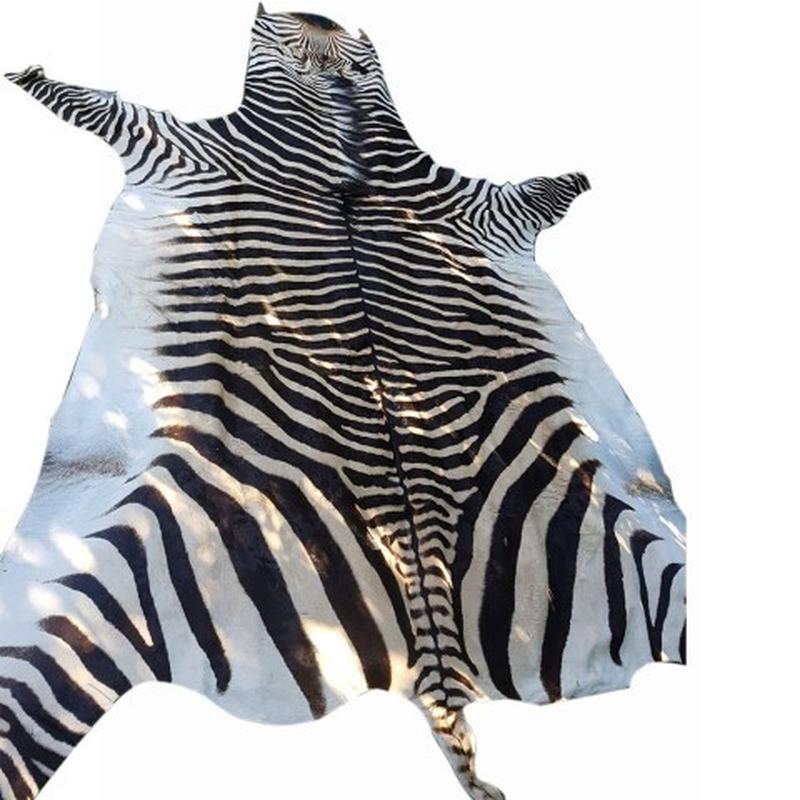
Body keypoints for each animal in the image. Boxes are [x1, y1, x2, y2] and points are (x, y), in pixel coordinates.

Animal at [1, 7, 686, 799]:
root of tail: (435, 659)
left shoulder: (191, 145)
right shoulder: (465, 203)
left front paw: (28, 74)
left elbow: (97, 104)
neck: (336, 117)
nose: (318, 14)